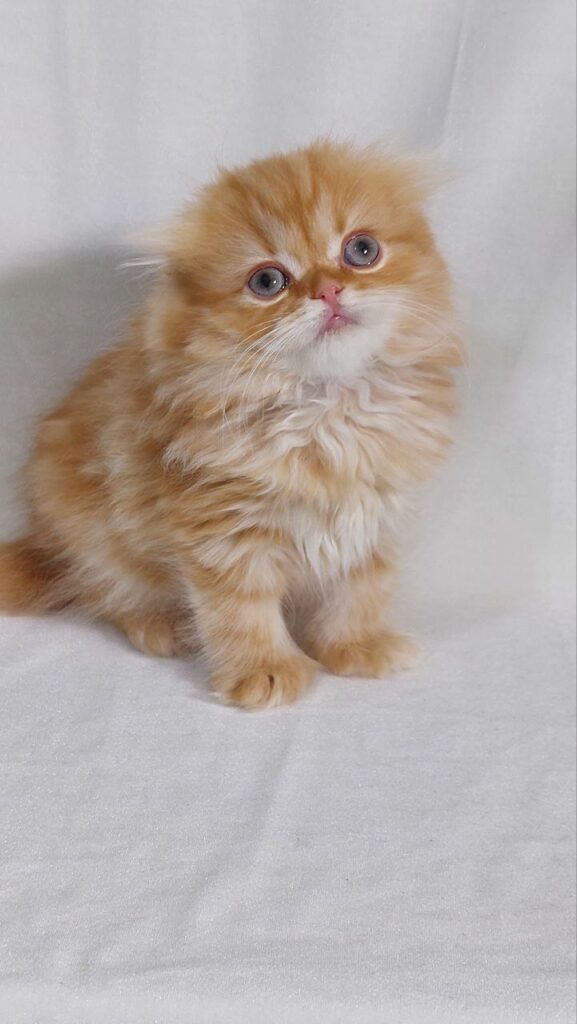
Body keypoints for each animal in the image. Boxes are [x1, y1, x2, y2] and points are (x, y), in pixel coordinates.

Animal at [0, 140, 463, 708]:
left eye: (361, 250)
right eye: (267, 281)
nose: (330, 290)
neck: (328, 411)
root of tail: (42, 541)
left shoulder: (376, 517)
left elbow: (361, 591)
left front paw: (355, 646)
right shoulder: (223, 529)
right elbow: (241, 611)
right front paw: (264, 671)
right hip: (94, 533)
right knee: (107, 591)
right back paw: (161, 626)